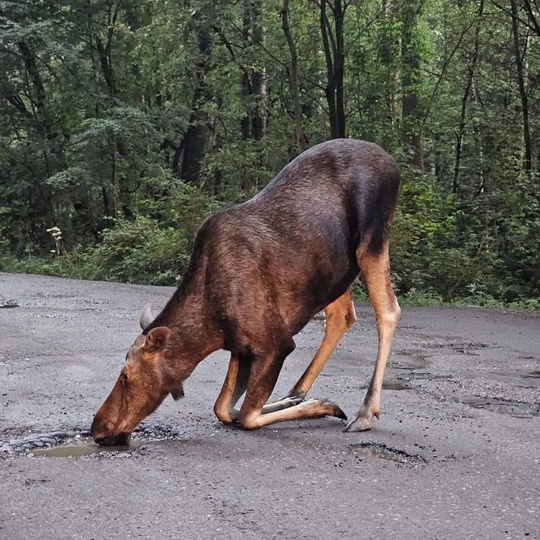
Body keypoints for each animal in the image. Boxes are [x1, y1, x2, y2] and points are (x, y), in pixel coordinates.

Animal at [90, 140, 398, 448]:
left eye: (125, 376)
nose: (97, 429)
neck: (211, 328)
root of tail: (393, 164)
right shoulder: (241, 347)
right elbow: (224, 408)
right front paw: (297, 402)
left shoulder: (276, 343)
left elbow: (248, 414)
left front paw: (318, 405)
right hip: (335, 274)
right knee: (341, 316)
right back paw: (296, 392)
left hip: (371, 242)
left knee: (388, 311)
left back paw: (365, 413)